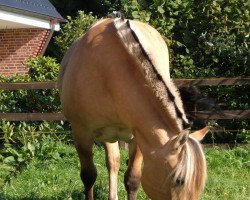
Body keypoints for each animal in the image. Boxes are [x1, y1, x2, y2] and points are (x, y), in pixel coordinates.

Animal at [58, 17, 209, 200]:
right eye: (179, 180)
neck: (109, 74)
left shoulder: (139, 136)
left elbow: (132, 179)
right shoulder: (81, 132)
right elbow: (89, 176)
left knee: (114, 162)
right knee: (112, 163)